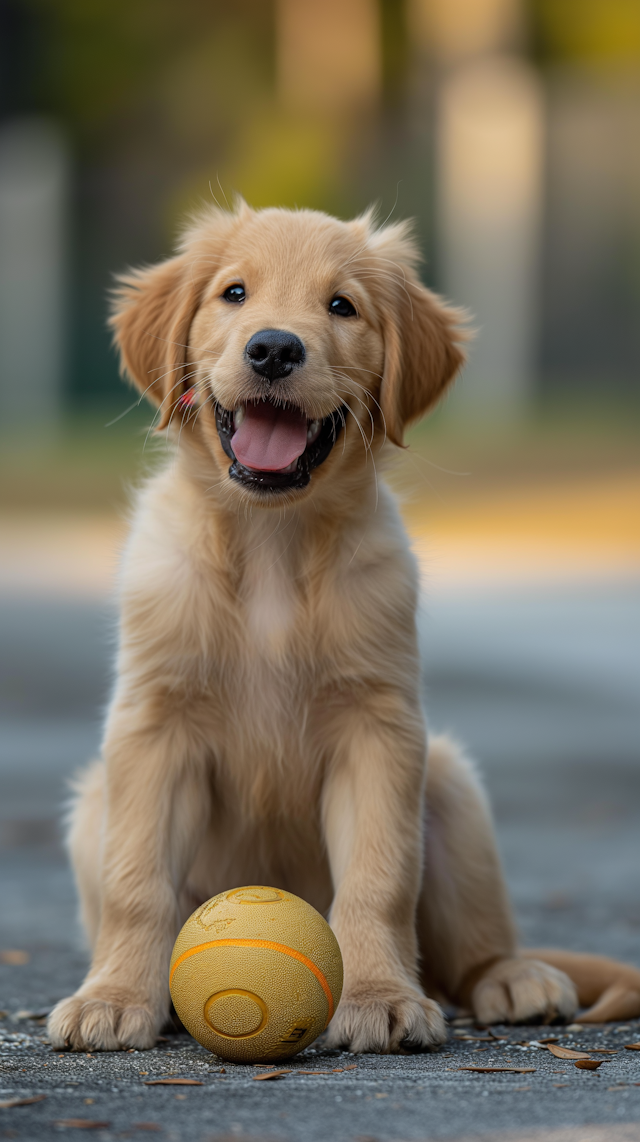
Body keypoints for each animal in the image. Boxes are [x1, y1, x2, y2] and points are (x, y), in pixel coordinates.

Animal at [48, 200, 640, 1046]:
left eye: (342, 306)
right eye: (234, 293)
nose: (273, 347)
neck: (272, 541)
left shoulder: (379, 729)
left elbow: (377, 879)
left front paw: (380, 997)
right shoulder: (151, 729)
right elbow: (138, 881)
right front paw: (115, 998)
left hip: (452, 785)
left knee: (470, 954)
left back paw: (513, 977)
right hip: (91, 802)